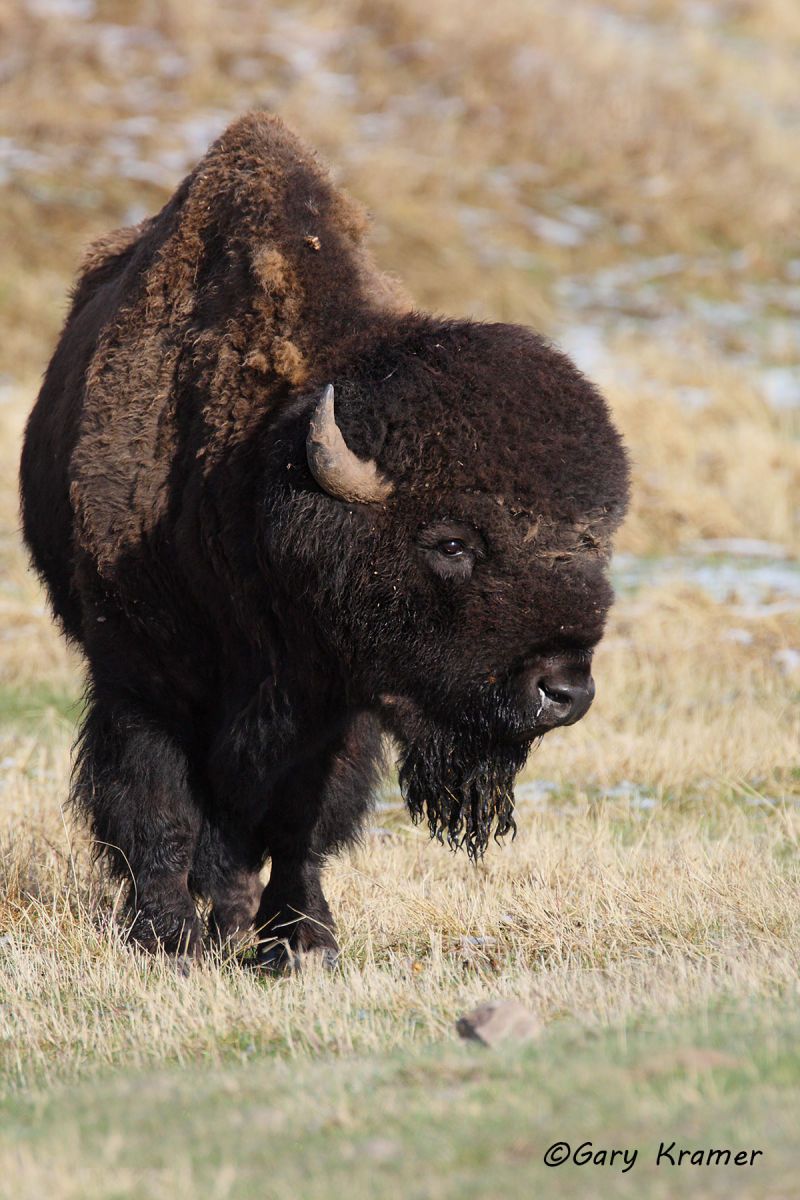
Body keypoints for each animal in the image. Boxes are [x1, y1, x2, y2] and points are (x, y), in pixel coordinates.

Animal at [19, 113, 629, 968]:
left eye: (590, 537)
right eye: (451, 544)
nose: (564, 690)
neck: (252, 475)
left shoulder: (338, 709)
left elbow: (301, 824)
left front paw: (303, 940)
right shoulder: (141, 676)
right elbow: (159, 807)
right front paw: (169, 940)